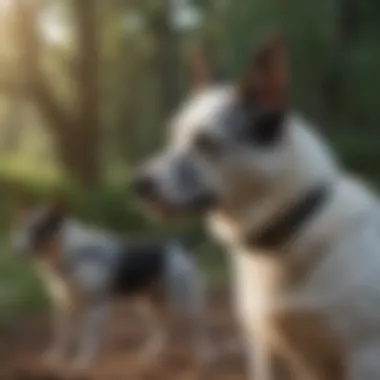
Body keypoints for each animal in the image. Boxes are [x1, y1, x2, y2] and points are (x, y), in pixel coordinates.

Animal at [10, 199, 211, 378]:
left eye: (40, 229)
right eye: (22, 227)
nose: (15, 250)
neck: (70, 256)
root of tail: (178, 246)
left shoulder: (96, 306)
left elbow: (88, 339)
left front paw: (83, 364)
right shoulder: (64, 307)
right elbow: (62, 337)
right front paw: (56, 359)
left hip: (186, 305)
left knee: (199, 331)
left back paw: (205, 358)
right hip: (148, 306)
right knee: (162, 331)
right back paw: (151, 356)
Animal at [133, 33, 380, 380]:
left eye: (206, 143)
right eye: (172, 137)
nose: (138, 185)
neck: (292, 229)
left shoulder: (365, 356)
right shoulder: (265, 350)